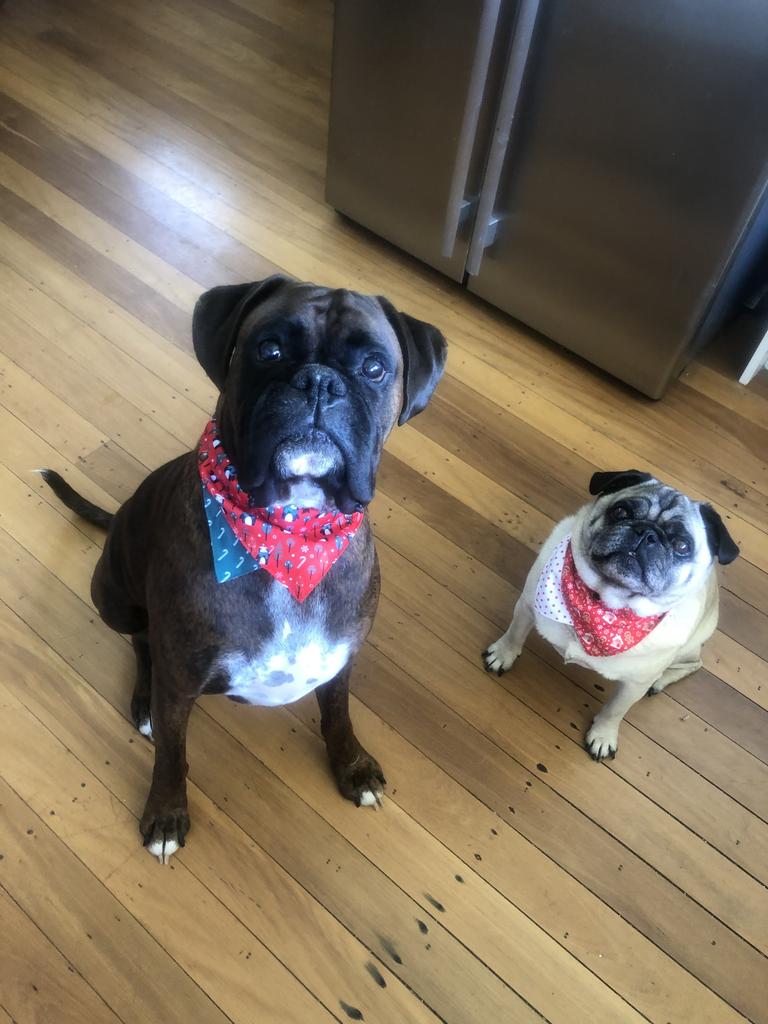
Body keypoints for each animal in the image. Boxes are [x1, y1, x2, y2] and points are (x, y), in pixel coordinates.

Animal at [41, 276, 448, 860]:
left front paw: (351, 766)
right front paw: (166, 814)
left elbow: (338, 713)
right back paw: (142, 703)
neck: (288, 533)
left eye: (374, 367)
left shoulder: (340, 662)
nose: (319, 382)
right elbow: (172, 755)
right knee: (141, 642)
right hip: (114, 597)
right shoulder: (179, 686)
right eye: (269, 350)